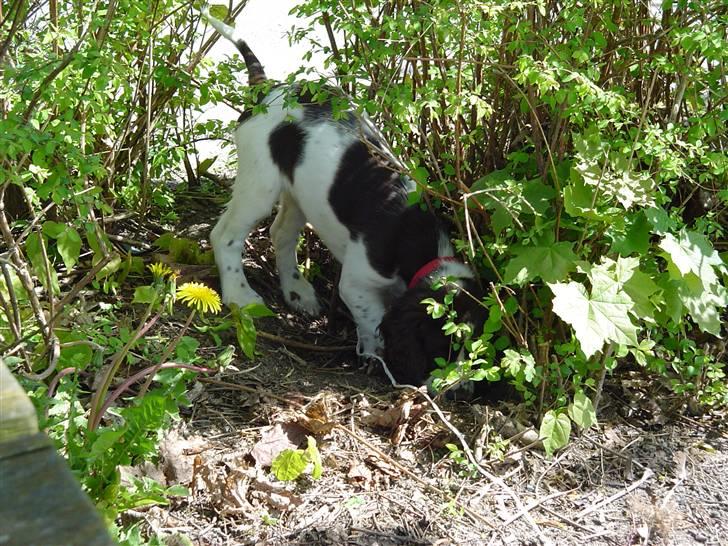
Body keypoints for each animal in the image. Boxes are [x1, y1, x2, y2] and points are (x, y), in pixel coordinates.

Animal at [202, 6, 484, 384]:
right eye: (443, 347)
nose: (460, 388)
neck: (416, 241)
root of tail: (267, 88)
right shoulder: (357, 282)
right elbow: (371, 316)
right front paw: (375, 356)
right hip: (259, 182)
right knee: (225, 236)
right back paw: (240, 295)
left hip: (299, 190)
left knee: (281, 233)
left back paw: (298, 292)